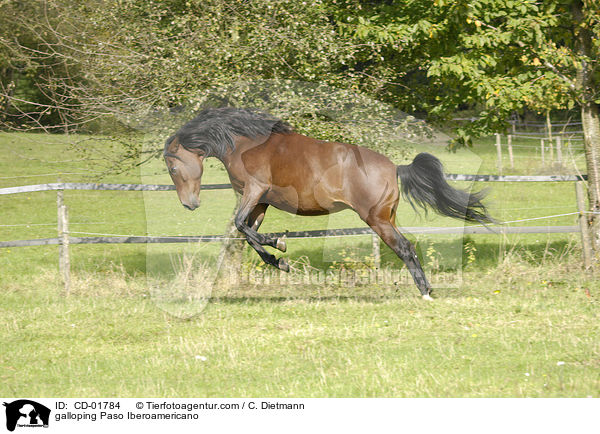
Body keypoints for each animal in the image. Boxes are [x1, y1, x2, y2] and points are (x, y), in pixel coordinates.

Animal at [165, 107, 492, 298]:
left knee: (404, 248)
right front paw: (279, 260)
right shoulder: (260, 201)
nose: (189, 204)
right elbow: (249, 234)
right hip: (387, 218)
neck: (245, 145)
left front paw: (280, 246)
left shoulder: (255, 191)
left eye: (172, 166)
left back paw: (425, 292)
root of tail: (395, 167)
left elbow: (242, 227)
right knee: (408, 247)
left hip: (377, 220)